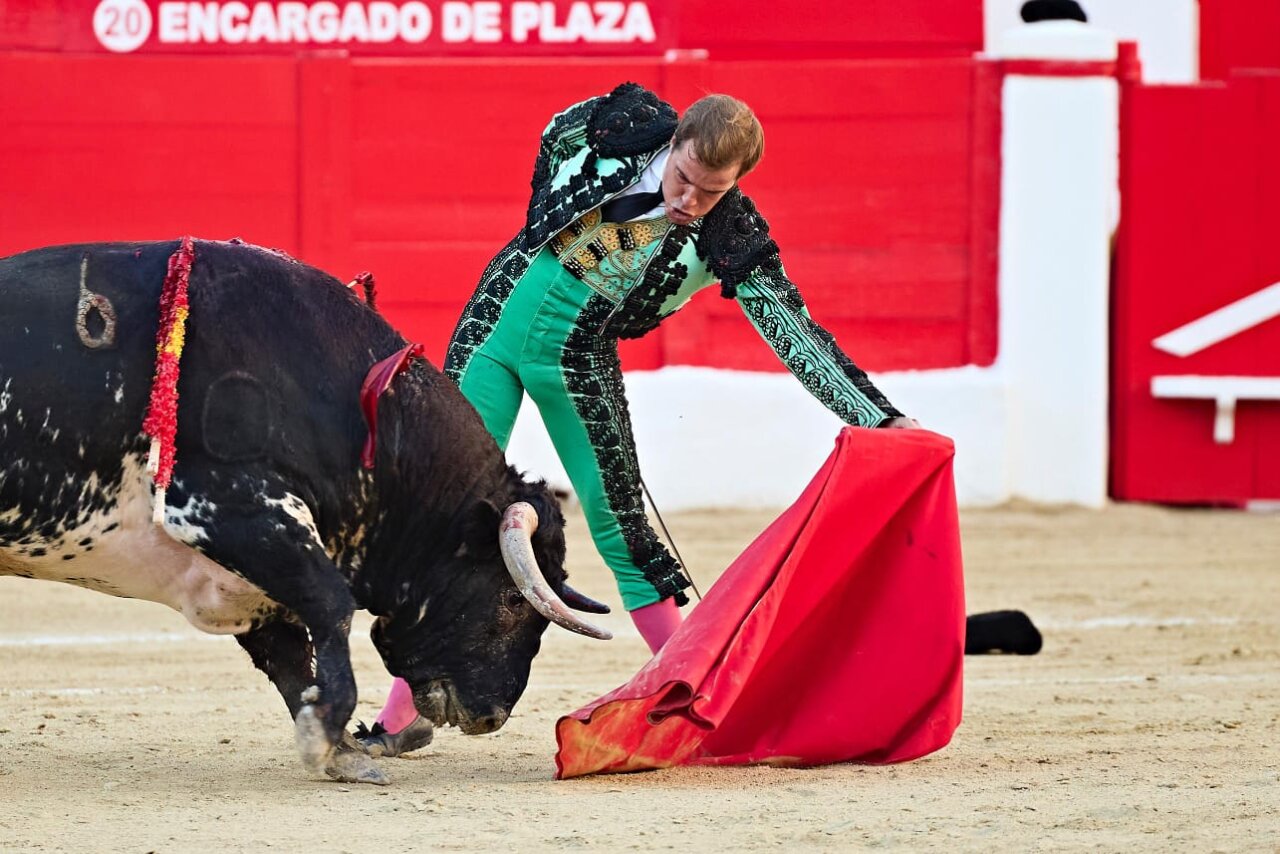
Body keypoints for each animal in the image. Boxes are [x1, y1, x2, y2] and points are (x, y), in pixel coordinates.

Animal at [0, 238, 611, 785]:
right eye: (512, 599)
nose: (492, 715)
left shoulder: (249, 570)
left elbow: (292, 654)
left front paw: (340, 749)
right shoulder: (230, 509)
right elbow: (332, 605)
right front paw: (325, 733)